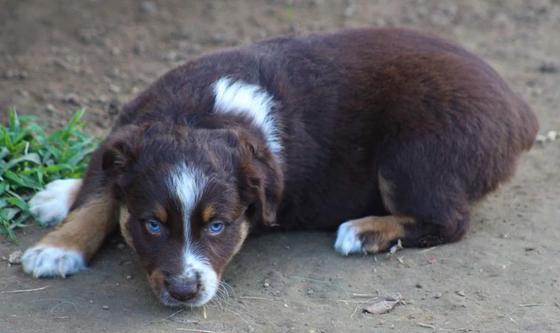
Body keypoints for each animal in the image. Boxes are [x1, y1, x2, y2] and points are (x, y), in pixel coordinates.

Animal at [20, 28, 540, 306]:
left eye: (218, 227)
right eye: (152, 225)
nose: (185, 291)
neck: (199, 116)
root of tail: (520, 111)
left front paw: (56, 244)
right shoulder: (123, 136)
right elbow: (99, 195)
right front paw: (58, 241)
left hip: (413, 156)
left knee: (449, 220)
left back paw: (365, 230)